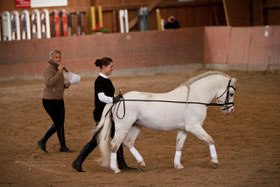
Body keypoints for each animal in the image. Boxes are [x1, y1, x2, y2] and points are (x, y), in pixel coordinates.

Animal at [93, 71, 236, 173]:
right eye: (231, 93)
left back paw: (142, 164)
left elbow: (179, 145)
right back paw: (116, 169)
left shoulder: (184, 129)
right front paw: (215, 162)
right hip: (123, 127)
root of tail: (118, 99)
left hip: (136, 126)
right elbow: (210, 139)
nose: (230, 110)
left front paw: (178, 165)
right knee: (114, 145)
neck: (194, 98)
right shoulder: (194, 127)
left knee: (128, 143)